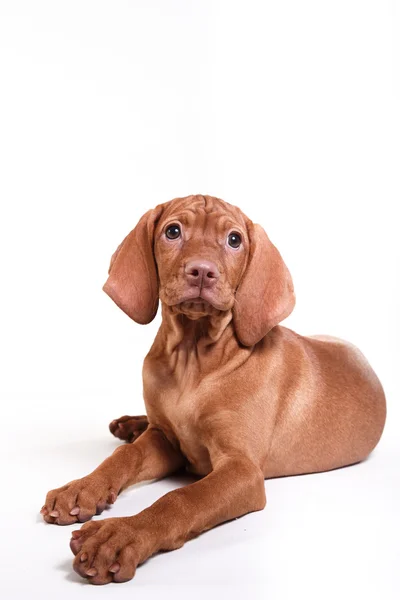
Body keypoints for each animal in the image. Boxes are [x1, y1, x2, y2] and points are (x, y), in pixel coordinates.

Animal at [41, 195, 388, 584]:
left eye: (234, 240)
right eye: (173, 231)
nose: (202, 271)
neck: (193, 361)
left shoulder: (242, 470)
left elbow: (182, 498)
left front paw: (119, 535)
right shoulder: (167, 441)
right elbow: (125, 456)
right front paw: (81, 489)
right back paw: (130, 424)